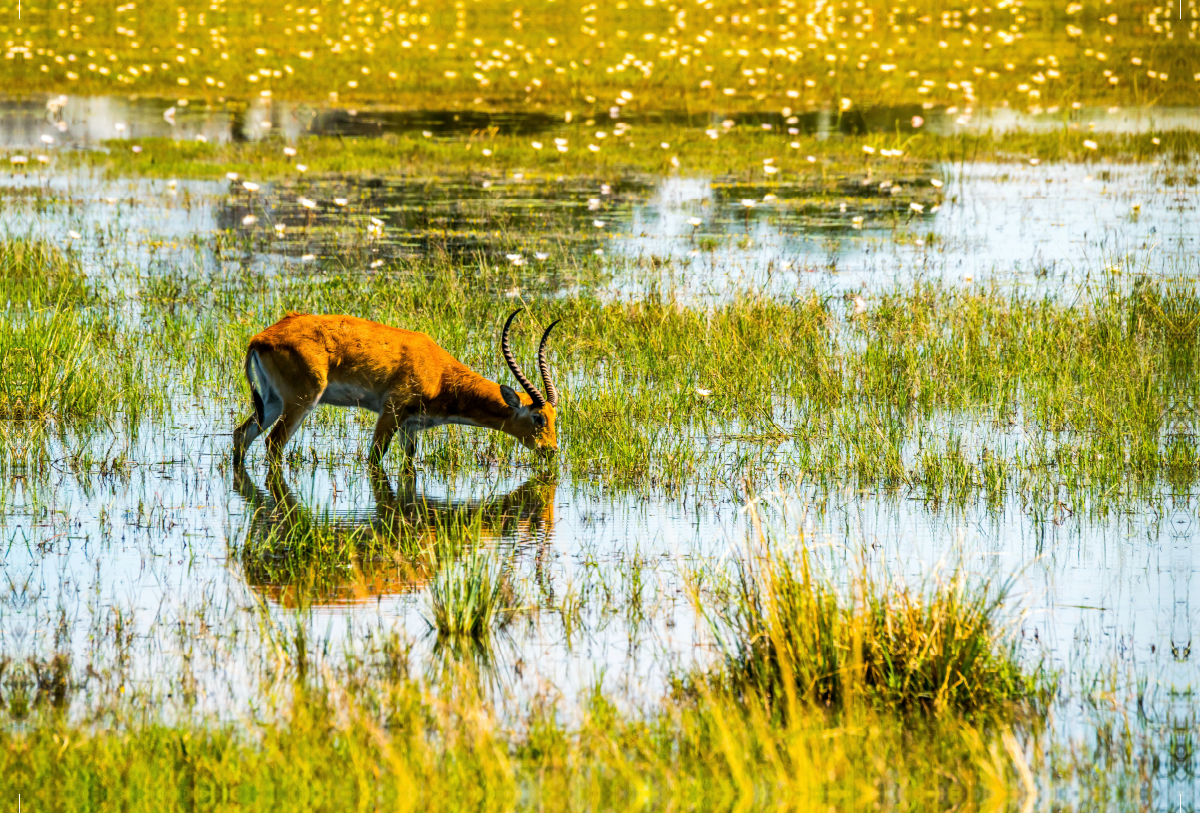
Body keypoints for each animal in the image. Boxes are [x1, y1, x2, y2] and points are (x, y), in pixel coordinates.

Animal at [234, 309, 561, 467]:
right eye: (537, 417)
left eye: (555, 418)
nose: (552, 450)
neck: (438, 373)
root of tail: (261, 338)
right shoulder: (389, 414)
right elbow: (374, 458)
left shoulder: (410, 427)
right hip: (302, 402)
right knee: (274, 443)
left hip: (272, 401)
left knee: (241, 434)